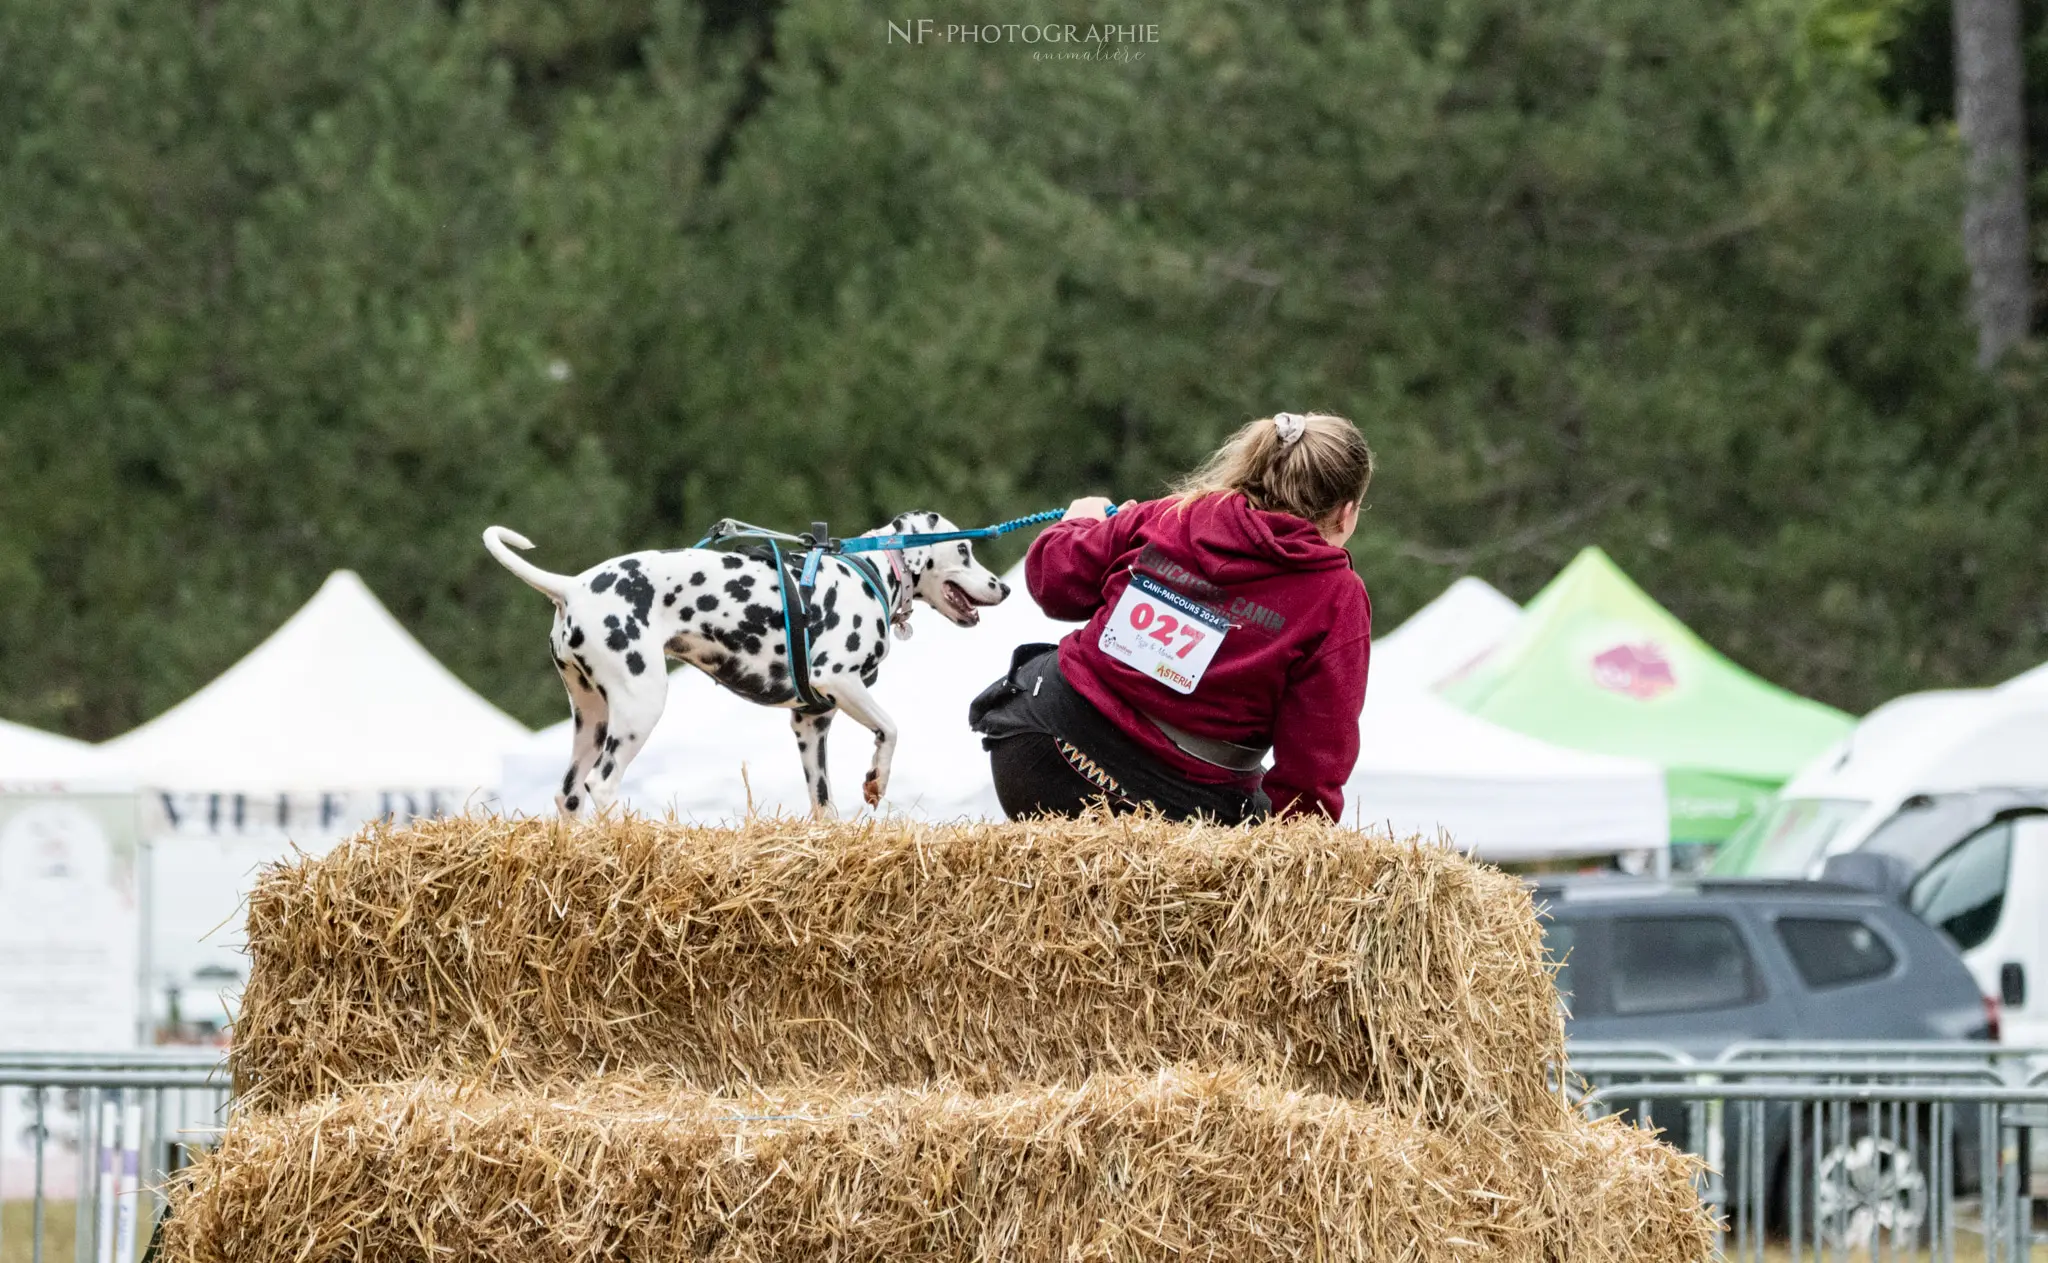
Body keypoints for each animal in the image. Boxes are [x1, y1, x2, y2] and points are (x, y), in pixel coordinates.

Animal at [489, 511, 1015, 818]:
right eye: (964, 548)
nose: (1004, 587)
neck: (869, 570)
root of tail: (573, 585)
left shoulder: (811, 725)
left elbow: (824, 807)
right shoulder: (839, 680)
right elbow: (891, 728)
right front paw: (876, 780)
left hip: (592, 720)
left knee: (570, 794)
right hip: (639, 708)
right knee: (601, 786)